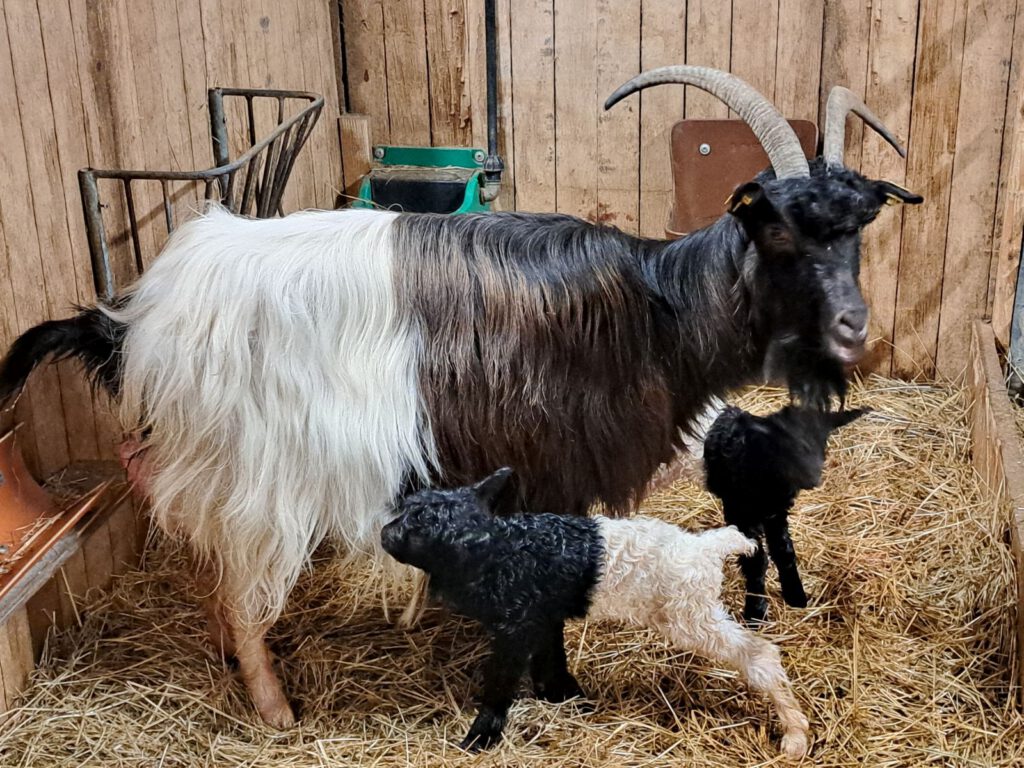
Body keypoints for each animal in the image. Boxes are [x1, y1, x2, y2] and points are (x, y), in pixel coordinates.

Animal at [380, 468, 811, 765]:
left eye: (416, 527)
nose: (384, 534)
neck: (500, 553)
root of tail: (706, 546)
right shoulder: (540, 617)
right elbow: (549, 659)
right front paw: (563, 697)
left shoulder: (515, 627)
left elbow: (501, 683)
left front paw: (479, 738)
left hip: (692, 615)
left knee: (760, 655)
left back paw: (795, 736)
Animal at [708, 405, 868, 622]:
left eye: (823, 444)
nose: (813, 478)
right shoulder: (740, 512)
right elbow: (755, 560)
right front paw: (755, 611)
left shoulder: (775, 513)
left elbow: (783, 550)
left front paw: (795, 595)